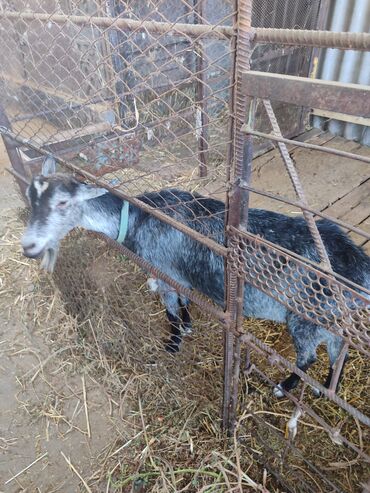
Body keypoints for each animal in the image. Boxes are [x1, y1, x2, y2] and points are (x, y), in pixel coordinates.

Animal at [21, 161, 368, 396]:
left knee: (308, 356)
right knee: (339, 353)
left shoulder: (164, 273)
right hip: (334, 320)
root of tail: (359, 266)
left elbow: (171, 312)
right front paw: (188, 327)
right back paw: (325, 388)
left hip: (306, 317)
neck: (138, 218)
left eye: (63, 202)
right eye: (30, 198)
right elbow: (185, 301)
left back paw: (285, 387)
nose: (29, 246)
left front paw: (173, 344)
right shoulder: (179, 276)